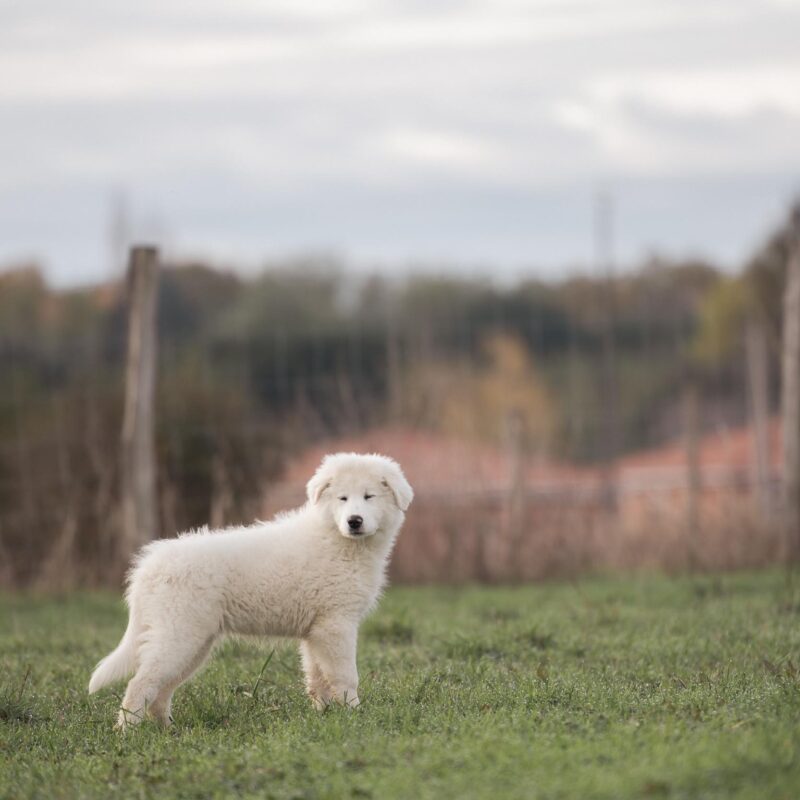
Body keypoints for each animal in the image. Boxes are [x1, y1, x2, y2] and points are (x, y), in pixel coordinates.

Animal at [88, 454, 412, 728]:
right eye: (342, 498)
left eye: (369, 497)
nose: (354, 521)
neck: (336, 538)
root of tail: (148, 567)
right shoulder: (337, 624)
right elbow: (345, 676)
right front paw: (355, 715)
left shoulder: (317, 631)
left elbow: (318, 677)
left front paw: (326, 715)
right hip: (179, 634)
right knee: (140, 684)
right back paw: (127, 732)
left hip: (193, 641)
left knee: (162, 688)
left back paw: (168, 729)